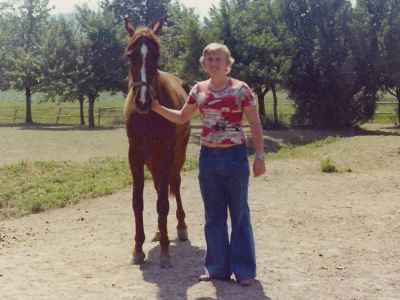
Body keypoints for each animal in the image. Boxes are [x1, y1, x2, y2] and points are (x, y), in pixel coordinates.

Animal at [124, 17, 191, 268]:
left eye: (157, 56)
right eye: (130, 55)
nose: (143, 101)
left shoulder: (167, 154)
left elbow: (163, 202)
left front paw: (164, 253)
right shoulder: (135, 156)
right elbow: (138, 202)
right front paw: (138, 249)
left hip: (177, 154)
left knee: (175, 183)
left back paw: (180, 228)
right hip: (152, 161)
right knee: (157, 186)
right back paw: (159, 231)